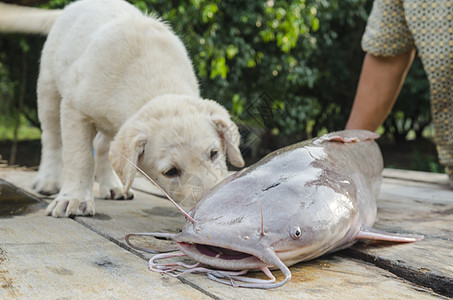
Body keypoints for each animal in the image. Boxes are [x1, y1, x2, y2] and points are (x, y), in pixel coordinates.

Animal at [0, 0, 244, 217]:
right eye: (170, 172)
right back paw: (49, 180)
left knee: (103, 147)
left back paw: (113, 186)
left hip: (112, 123)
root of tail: (71, 7)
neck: (154, 83)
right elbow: (80, 157)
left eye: (214, 154)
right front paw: (74, 199)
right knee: (52, 138)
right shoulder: (74, 109)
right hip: (49, 88)